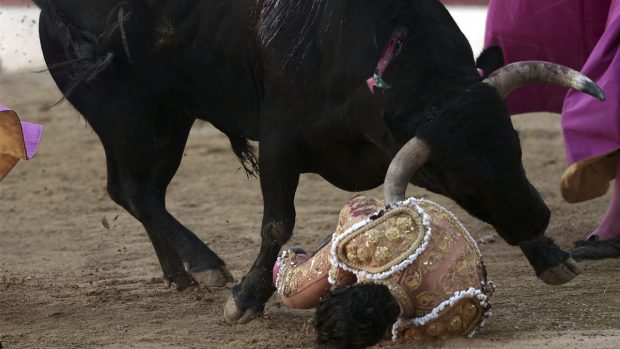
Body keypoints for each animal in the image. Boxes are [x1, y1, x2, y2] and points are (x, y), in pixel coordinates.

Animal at [34, 0, 604, 322]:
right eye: (456, 176)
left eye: (514, 146)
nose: (536, 219)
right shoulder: (279, 142)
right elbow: (276, 224)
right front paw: (246, 299)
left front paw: (551, 257)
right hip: (125, 112)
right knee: (133, 189)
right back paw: (206, 265)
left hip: (167, 118)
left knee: (139, 190)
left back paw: (181, 274)